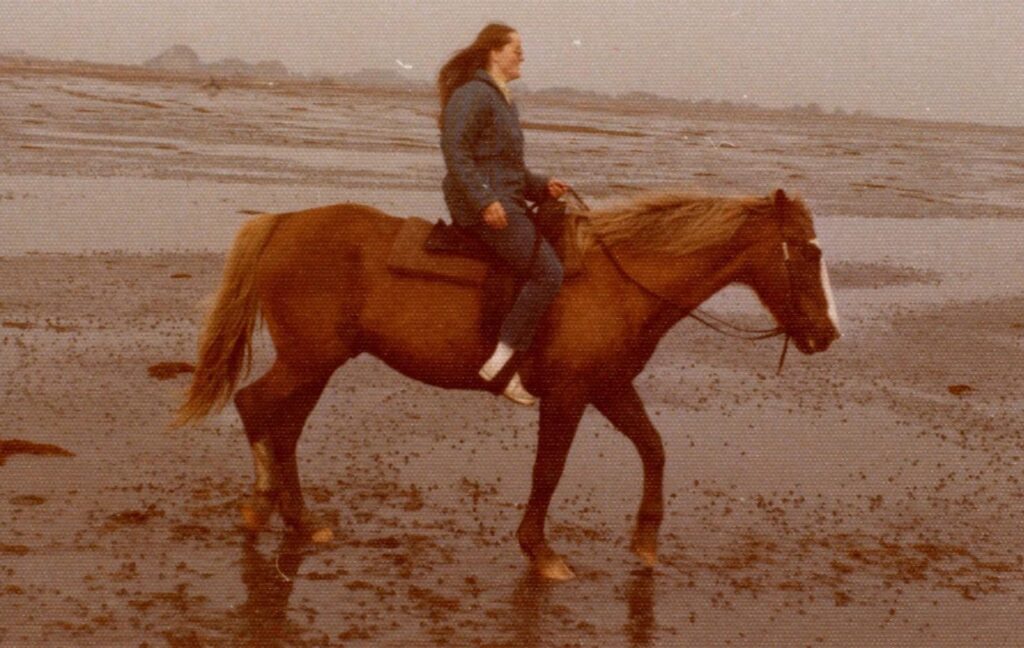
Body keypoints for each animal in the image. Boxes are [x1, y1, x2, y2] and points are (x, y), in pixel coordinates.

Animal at [175, 188, 840, 581]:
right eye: (806, 253)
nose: (829, 333)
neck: (620, 283)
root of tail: (284, 222)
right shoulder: (570, 397)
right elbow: (549, 469)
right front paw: (539, 550)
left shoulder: (610, 389)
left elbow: (653, 449)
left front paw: (646, 542)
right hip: (309, 360)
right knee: (254, 406)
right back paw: (264, 508)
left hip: (316, 364)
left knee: (282, 426)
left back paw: (295, 517)